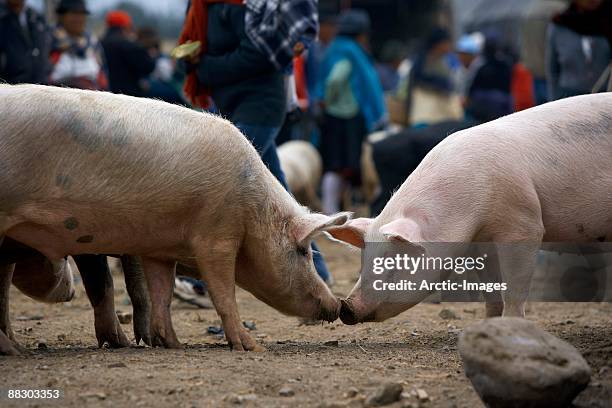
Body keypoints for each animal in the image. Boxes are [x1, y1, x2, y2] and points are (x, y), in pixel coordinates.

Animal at [330, 93, 612, 326]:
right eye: (365, 258)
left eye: (392, 261)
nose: (346, 308)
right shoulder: (480, 242)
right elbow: (490, 291)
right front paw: (486, 327)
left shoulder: (524, 226)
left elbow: (514, 290)